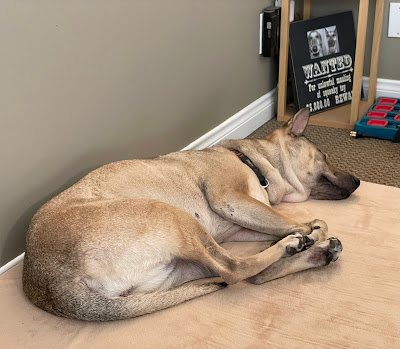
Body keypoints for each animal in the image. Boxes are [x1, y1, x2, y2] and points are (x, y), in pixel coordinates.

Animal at [21, 109, 360, 320]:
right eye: (324, 156)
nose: (358, 181)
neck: (254, 161)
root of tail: (44, 284)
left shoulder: (241, 225)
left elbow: (288, 223)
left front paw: (307, 233)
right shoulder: (230, 199)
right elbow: (309, 222)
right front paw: (308, 231)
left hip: (177, 266)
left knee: (248, 274)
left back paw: (317, 253)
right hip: (172, 216)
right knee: (234, 269)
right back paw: (295, 246)